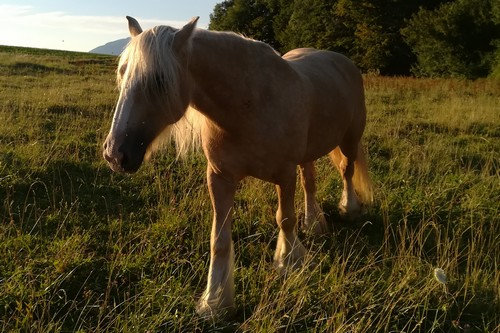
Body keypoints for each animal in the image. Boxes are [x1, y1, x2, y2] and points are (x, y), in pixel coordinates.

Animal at [103, 16, 374, 316]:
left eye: (159, 79)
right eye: (123, 73)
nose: (115, 154)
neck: (249, 103)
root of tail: (342, 61)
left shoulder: (285, 174)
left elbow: (285, 219)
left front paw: (289, 263)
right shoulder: (220, 177)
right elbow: (219, 239)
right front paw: (215, 300)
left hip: (350, 141)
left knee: (347, 171)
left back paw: (349, 208)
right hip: (308, 154)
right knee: (310, 182)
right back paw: (314, 223)